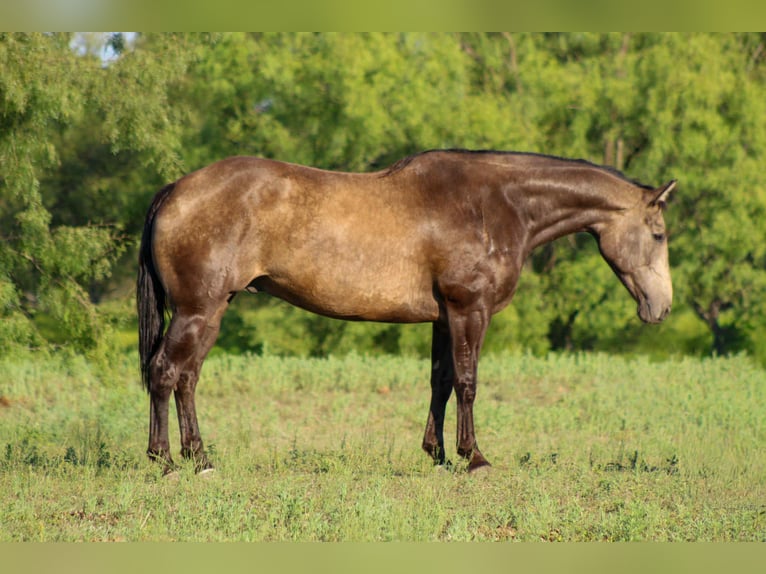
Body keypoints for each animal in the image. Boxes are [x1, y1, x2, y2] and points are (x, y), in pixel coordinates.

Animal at [137, 149, 675, 474]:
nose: (662, 307)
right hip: (197, 310)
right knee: (165, 373)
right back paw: (164, 462)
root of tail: (175, 189)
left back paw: (200, 458)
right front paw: (473, 457)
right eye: (658, 235)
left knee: (187, 379)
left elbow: (441, 381)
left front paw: (437, 455)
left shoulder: (443, 317)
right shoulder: (469, 309)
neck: (496, 204)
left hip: (211, 312)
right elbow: (468, 382)